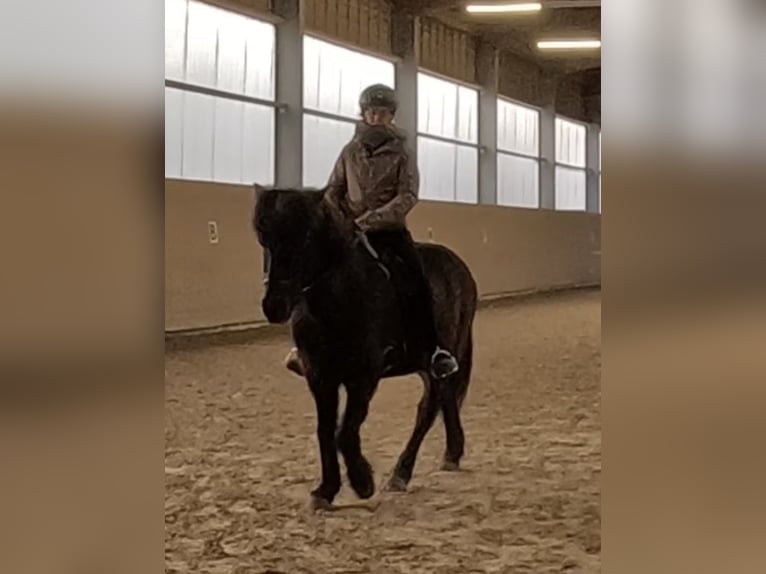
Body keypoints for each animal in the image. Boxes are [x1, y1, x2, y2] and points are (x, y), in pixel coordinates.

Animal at [252, 185, 477, 510]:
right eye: (262, 235)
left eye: (307, 235)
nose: (274, 306)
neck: (337, 298)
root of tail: (459, 266)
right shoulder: (320, 377)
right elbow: (325, 431)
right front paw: (326, 490)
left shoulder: (364, 375)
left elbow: (345, 431)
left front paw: (362, 482)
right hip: (425, 362)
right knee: (441, 400)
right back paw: (447, 455)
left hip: (445, 351)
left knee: (430, 406)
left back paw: (404, 472)